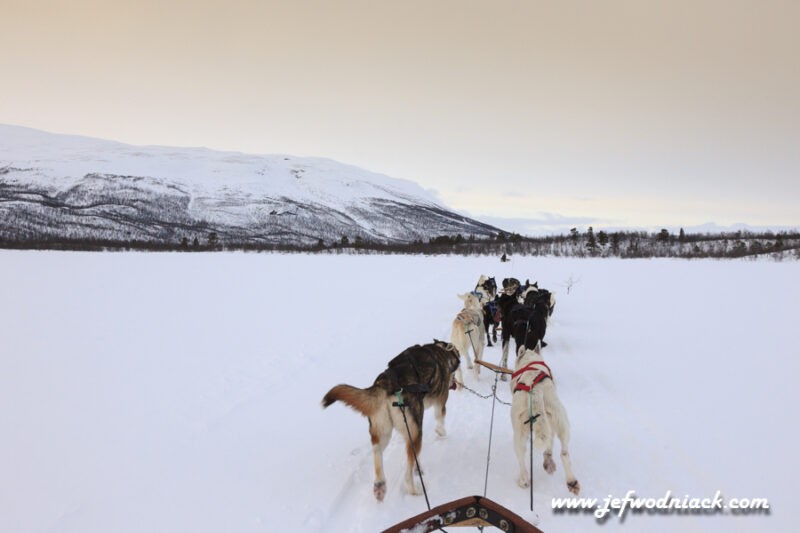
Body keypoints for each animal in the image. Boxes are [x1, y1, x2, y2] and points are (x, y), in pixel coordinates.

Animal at [320, 338, 460, 500]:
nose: (455, 383)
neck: (440, 351)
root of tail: (385, 384)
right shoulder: (441, 401)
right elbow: (440, 418)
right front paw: (441, 433)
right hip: (415, 433)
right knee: (407, 474)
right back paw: (414, 489)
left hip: (383, 431)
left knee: (377, 451)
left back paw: (380, 485)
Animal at [510, 342, 580, 492]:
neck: (530, 363)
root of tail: (534, 390)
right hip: (560, 420)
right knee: (563, 453)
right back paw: (570, 480)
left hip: (520, 430)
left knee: (521, 457)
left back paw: (524, 479)